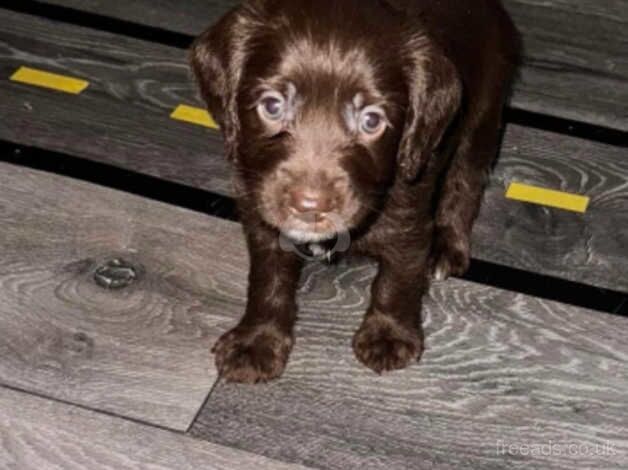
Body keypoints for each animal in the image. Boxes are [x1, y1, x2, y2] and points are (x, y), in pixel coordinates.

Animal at [190, 0, 520, 382]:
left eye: (372, 120)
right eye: (272, 106)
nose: (309, 206)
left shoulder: (408, 215)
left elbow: (399, 276)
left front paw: (388, 336)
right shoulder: (260, 215)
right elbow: (267, 277)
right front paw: (256, 341)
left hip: (482, 116)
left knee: (464, 184)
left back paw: (447, 246)